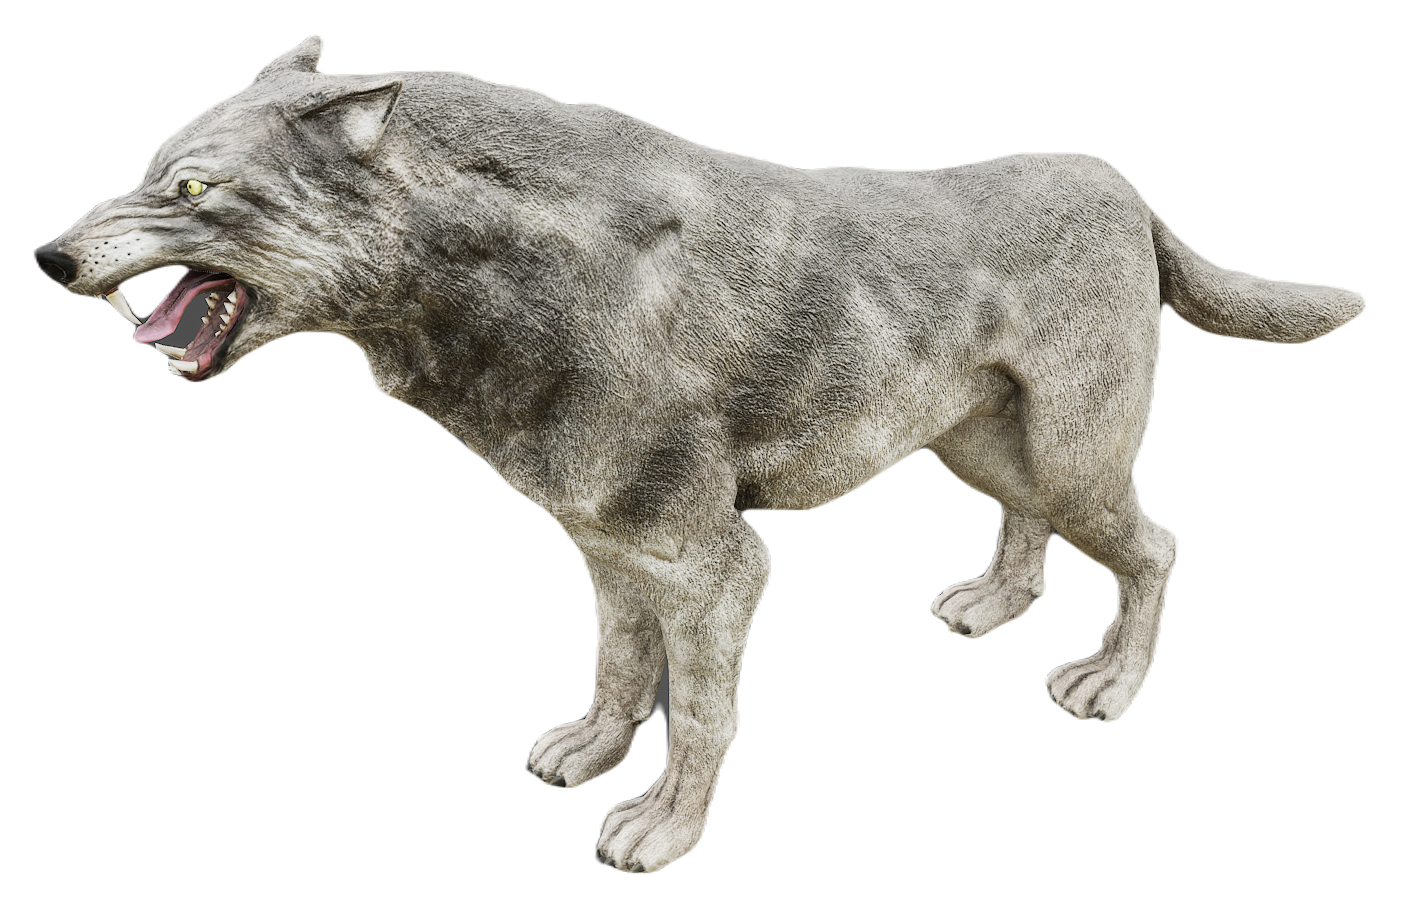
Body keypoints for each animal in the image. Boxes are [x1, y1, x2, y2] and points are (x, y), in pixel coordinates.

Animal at [33, 34, 1364, 872]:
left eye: (192, 188)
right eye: (145, 173)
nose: (50, 256)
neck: (491, 281)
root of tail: (1115, 177)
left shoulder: (719, 566)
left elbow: (705, 716)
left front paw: (661, 828)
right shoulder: (609, 550)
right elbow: (622, 671)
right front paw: (590, 750)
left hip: (1080, 459)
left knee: (1157, 547)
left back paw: (1108, 680)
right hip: (984, 452)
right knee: (1031, 531)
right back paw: (992, 602)